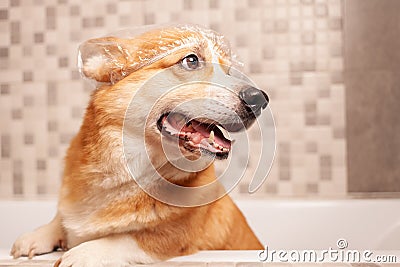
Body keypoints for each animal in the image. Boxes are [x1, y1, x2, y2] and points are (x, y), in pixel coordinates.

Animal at [10, 24, 268, 266]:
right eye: (191, 60)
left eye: (228, 71)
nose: (260, 99)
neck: (127, 173)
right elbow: (61, 219)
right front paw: (35, 236)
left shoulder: (169, 237)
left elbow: (122, 239)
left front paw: (80, 253)